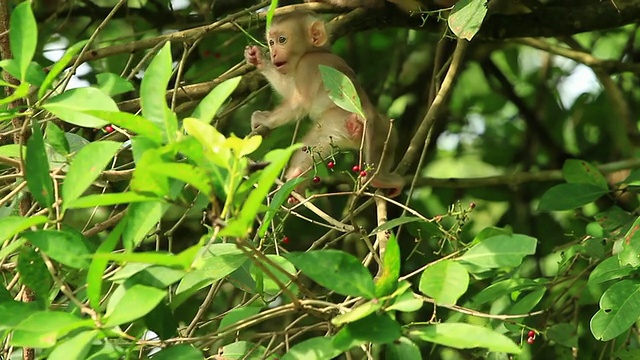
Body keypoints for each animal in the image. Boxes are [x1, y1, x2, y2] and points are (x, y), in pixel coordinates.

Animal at [245, 11, 404, 198]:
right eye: (271, 42)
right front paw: (258, 59)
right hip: (354, 127)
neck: (314, 51)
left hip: (347, 122)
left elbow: (298, 103)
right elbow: (290, 91)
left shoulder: (306, 65)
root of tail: (366, 115)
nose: (274, 53)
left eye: (282, 40)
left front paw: (264, 119)